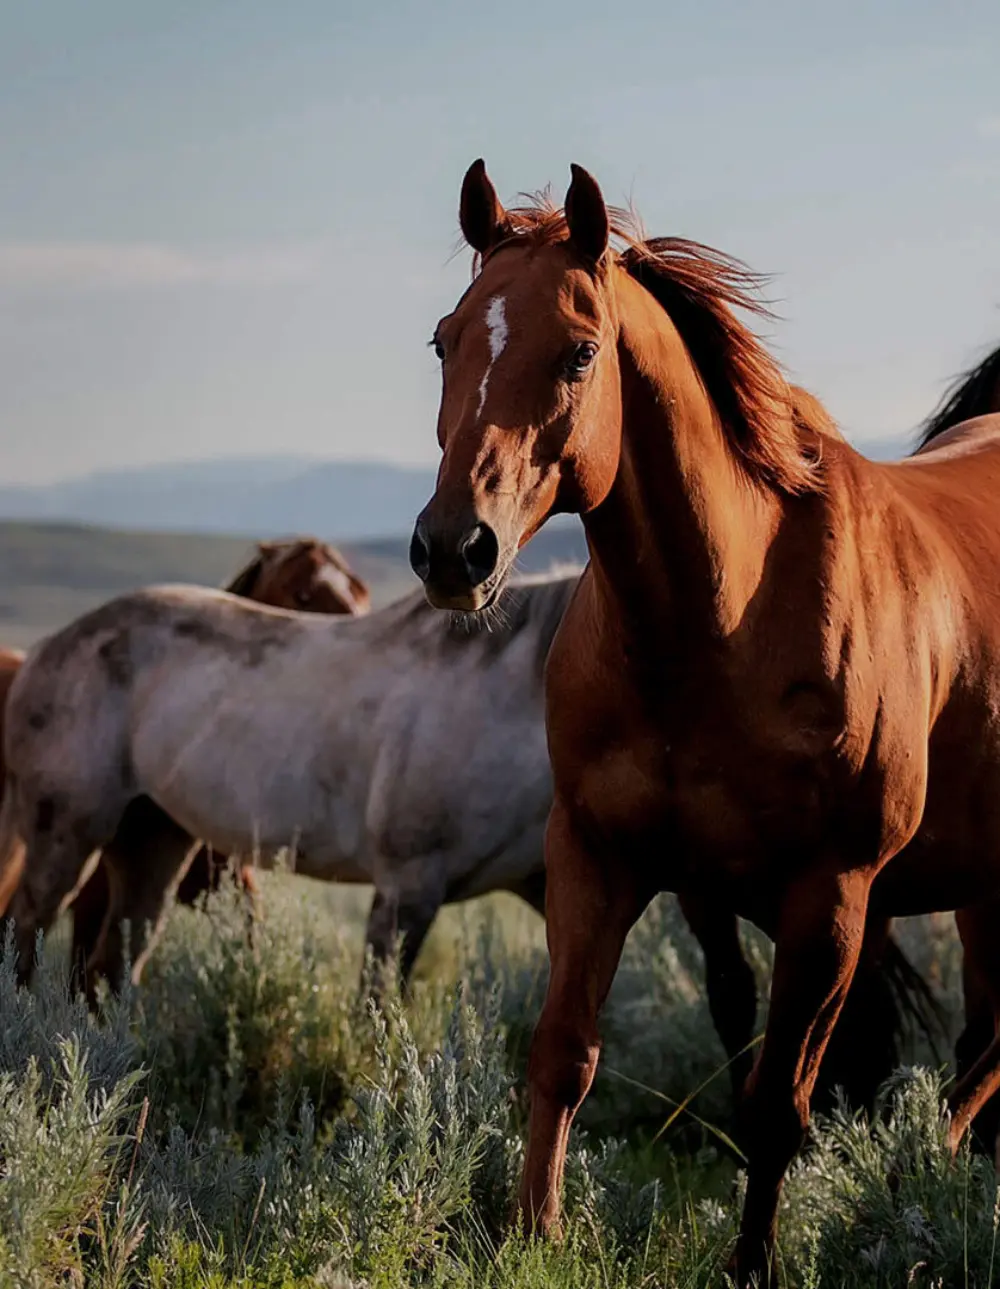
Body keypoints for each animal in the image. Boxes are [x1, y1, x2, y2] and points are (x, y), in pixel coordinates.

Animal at [410, 158, 1000, 1285]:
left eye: (579, 350)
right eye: (444, 338)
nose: (453, 549)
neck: (721, 622)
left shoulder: (831, 899)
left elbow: (778, 1101)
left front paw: (752, 1261)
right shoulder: (606, 857)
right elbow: (565, 1051)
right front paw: (533, 1233)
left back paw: (916, 1190)